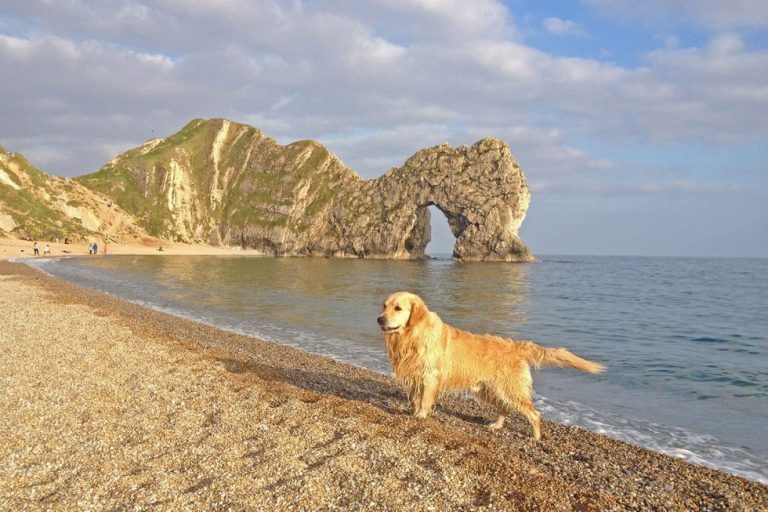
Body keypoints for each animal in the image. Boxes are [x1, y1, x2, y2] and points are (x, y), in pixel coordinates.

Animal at [378, 292, 608, 440]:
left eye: (398, 308)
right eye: (384, 306)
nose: (379, 319)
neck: (411, 335)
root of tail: (516, 346)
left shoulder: (429, 376)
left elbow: (424, 400)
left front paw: (420, 416)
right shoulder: (413, 376)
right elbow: (415, 399)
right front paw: (413, 412)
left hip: (509, 389)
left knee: (534, 414)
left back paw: (535, 437)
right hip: (489, 390)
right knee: (506, 408)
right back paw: (496, 425)